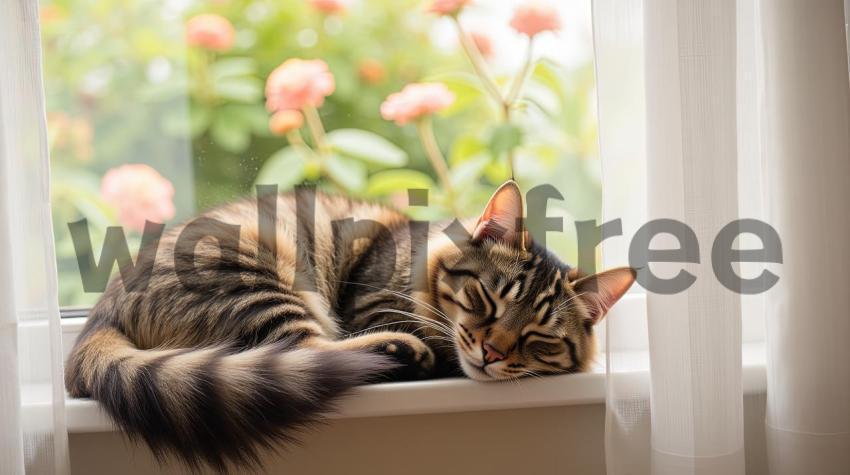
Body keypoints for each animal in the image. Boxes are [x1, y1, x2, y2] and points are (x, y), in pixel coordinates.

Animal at [66, 181, 632, 472]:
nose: (492, 352)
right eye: (485, 299)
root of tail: (101, 313)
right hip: (262, 276)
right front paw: (434, 348)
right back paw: (401, 354)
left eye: (539, 337)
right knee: (314, 350)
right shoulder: (374, 300)